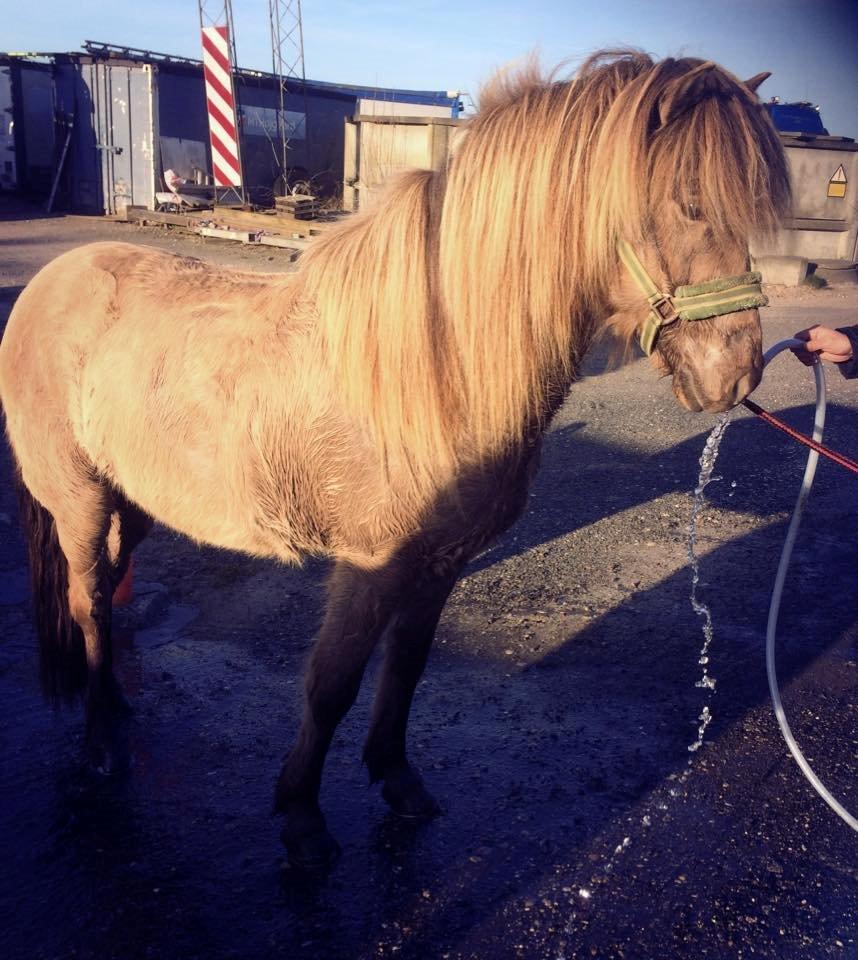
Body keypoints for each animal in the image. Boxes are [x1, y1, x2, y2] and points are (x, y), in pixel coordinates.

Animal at [1, 48, 788, 868]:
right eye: (692, 204)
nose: (737, 374)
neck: (438, 364)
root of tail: (50, 285)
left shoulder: (437, 563)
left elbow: (405, 668)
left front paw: (397, 779)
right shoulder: (371, 564)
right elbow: (333, 683)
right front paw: (302, 817)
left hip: (136, 505)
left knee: (103, 593)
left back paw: (116, 707)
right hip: (80, 501)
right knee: (89, 602)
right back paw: (100, 742)